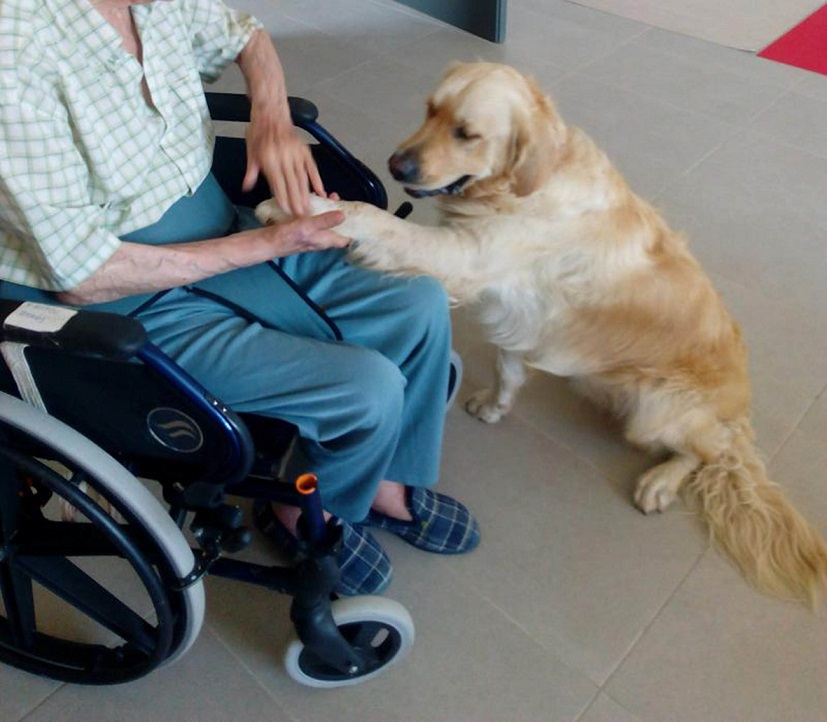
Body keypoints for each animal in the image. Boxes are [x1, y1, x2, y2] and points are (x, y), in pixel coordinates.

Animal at [262, 62, 827, 604]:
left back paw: (659, 482)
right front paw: (494, 404)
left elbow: (372, 217)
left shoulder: (464, 256)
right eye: (429, 110)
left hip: (657, 410)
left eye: (467, 133)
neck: (523, 185)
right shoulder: (518, 314)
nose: (397, 165)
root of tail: (740, 408)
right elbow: (510, 368)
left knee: (709, 451)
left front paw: (300, 207)